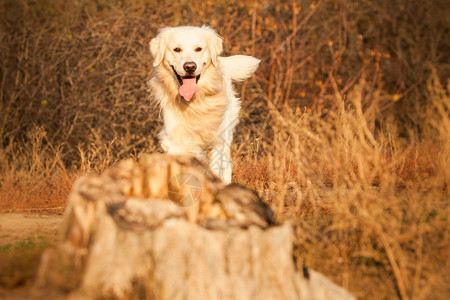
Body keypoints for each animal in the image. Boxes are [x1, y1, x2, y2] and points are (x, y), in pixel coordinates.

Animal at [149, 26, 260, 183]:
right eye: (176, 49)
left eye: (199, 49)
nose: (190, 67)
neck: (194, 104)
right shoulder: (175, 142)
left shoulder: (217, 141)